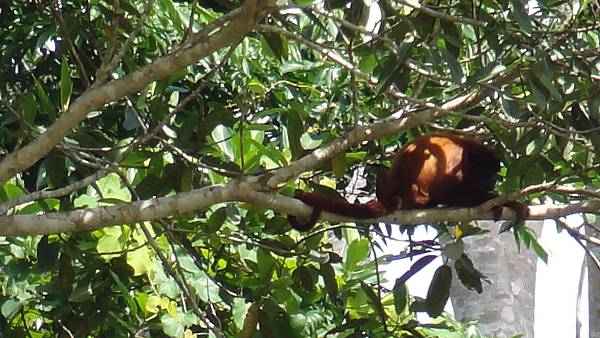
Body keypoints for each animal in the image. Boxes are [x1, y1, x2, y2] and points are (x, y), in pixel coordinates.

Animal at [288, 133, 528, 231]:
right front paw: (501, 201)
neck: (468, 153)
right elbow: (447, 192)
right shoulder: (456, 163)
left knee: (382, 173)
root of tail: (399, 193)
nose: (493, 183)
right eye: (489, 173)